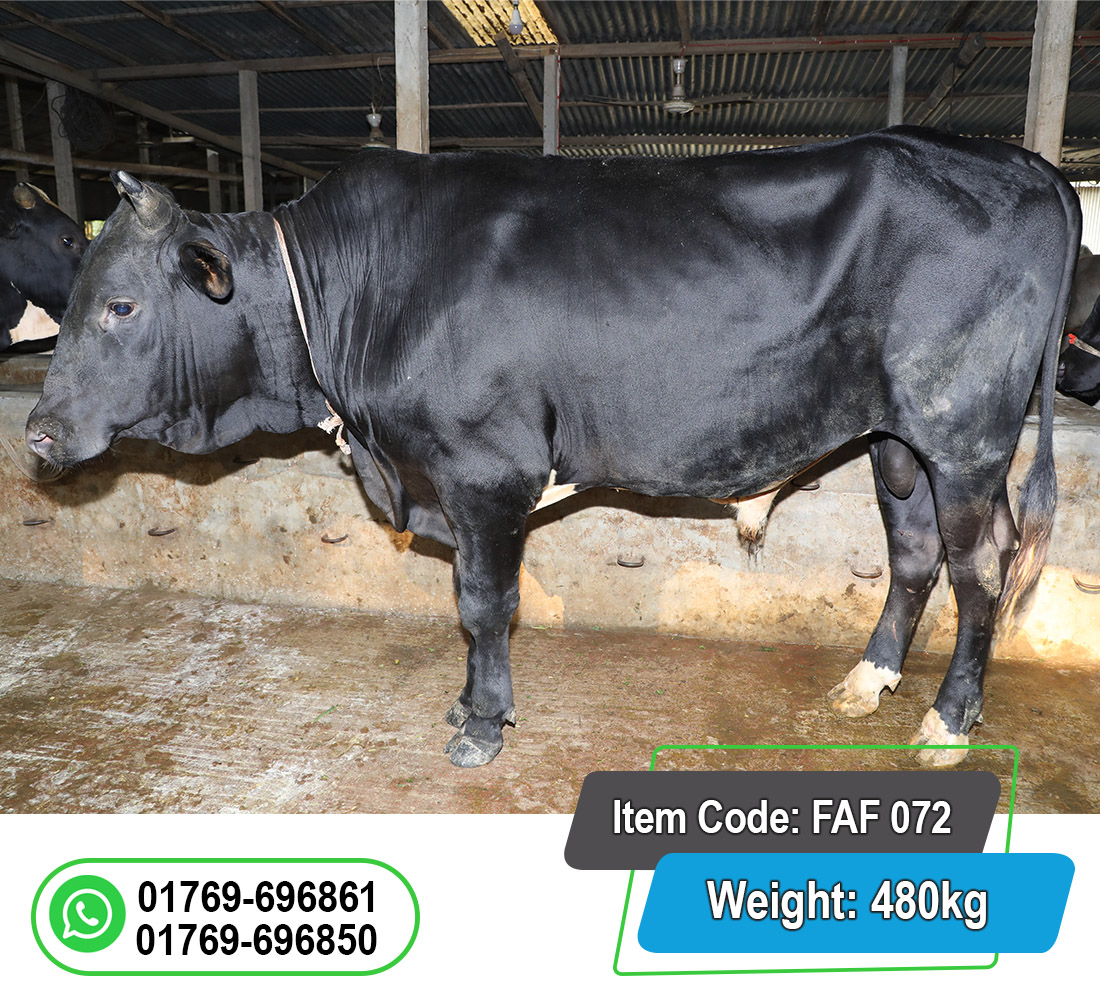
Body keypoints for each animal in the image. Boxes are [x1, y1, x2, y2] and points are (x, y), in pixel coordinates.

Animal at [25, 126, 1079, 769]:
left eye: (121, 305)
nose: (36, 431)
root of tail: (1022, 161)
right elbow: (468, 599)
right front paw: (466, 706)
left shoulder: (485, 469)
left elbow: (482, 603)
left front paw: (482, 724)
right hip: (897, 439)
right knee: (914, 553)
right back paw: (869, 681)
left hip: (965, 433)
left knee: (981, 568)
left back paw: (947, 720)